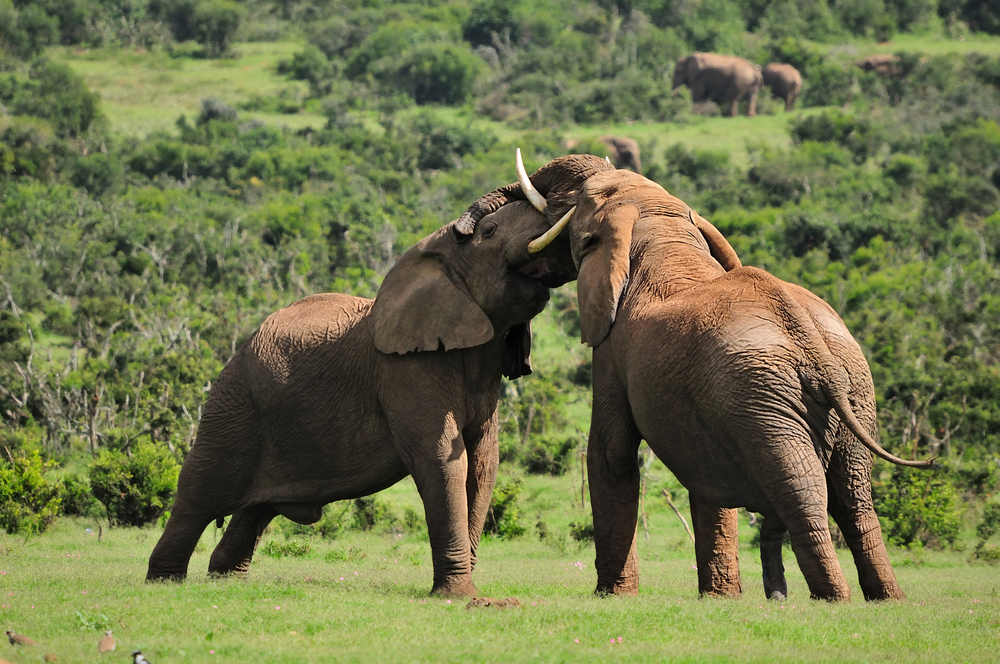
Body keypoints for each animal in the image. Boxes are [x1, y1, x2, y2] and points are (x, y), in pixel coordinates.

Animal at [144, 158, 580, 596]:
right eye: (490, 232)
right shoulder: (406, 370)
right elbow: (440, 459)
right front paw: (462, 598)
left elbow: (483, 464)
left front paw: (467, 592)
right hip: (233, 404)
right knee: (197, 495)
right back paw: (164, 581)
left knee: (254, 510)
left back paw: (226, 579)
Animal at [513, 154, 937, 602]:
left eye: (587, 198)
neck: (662, 232)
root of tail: (812, 345)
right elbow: (705, 474)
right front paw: (720, 597)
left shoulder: (611, 349)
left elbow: (611, 453)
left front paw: (613, 596)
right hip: (849, 391)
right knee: (854, 497)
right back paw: (881, 598)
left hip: (762, 401)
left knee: (804, 497)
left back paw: (831, 600)